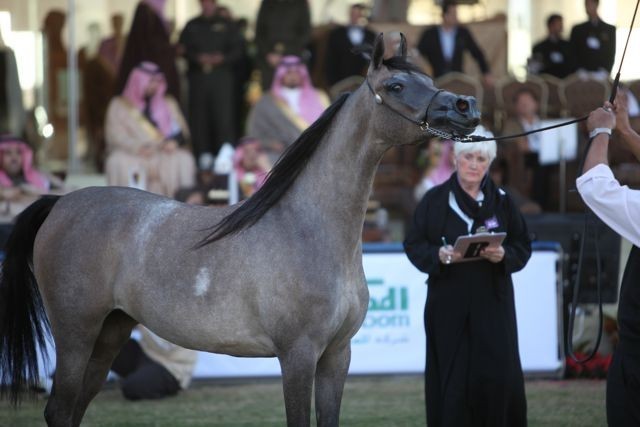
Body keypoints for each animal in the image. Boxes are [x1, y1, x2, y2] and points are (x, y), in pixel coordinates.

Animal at [0, 33, 480, 427]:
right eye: (396, 86)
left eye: (428, 78)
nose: (466, 107)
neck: (309, 229)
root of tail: (61, 203)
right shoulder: (298, 355)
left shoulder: (336, 356)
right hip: (76, 333)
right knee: (60, 409)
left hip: (110, 331)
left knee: (73, 409)